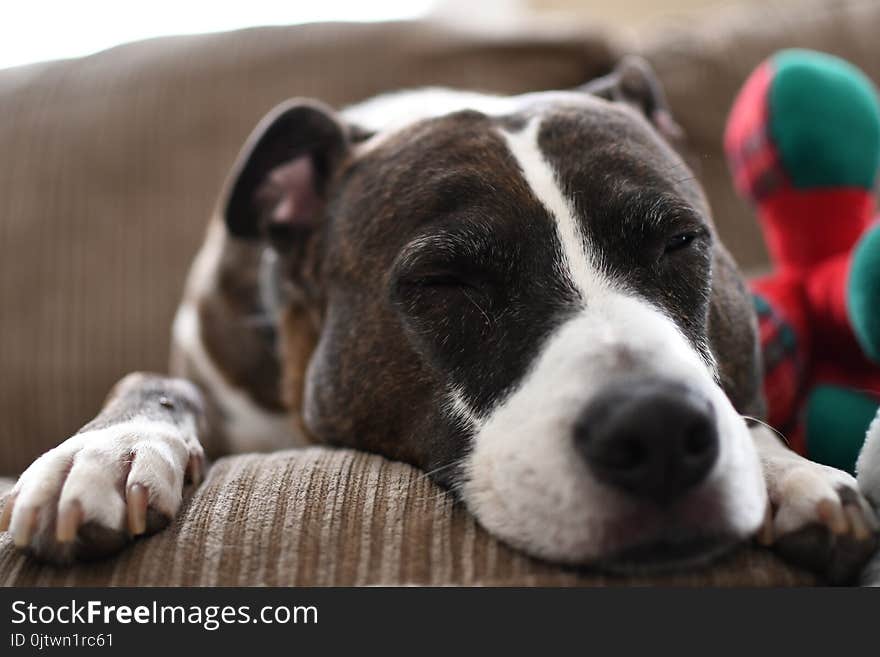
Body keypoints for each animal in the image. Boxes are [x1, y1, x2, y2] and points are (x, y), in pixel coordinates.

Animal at [3, 56, 876, 580]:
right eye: (445, 280)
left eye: (681, 241)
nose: (657, 429)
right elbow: (155, 379)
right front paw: (107, 449)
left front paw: (786, 467)